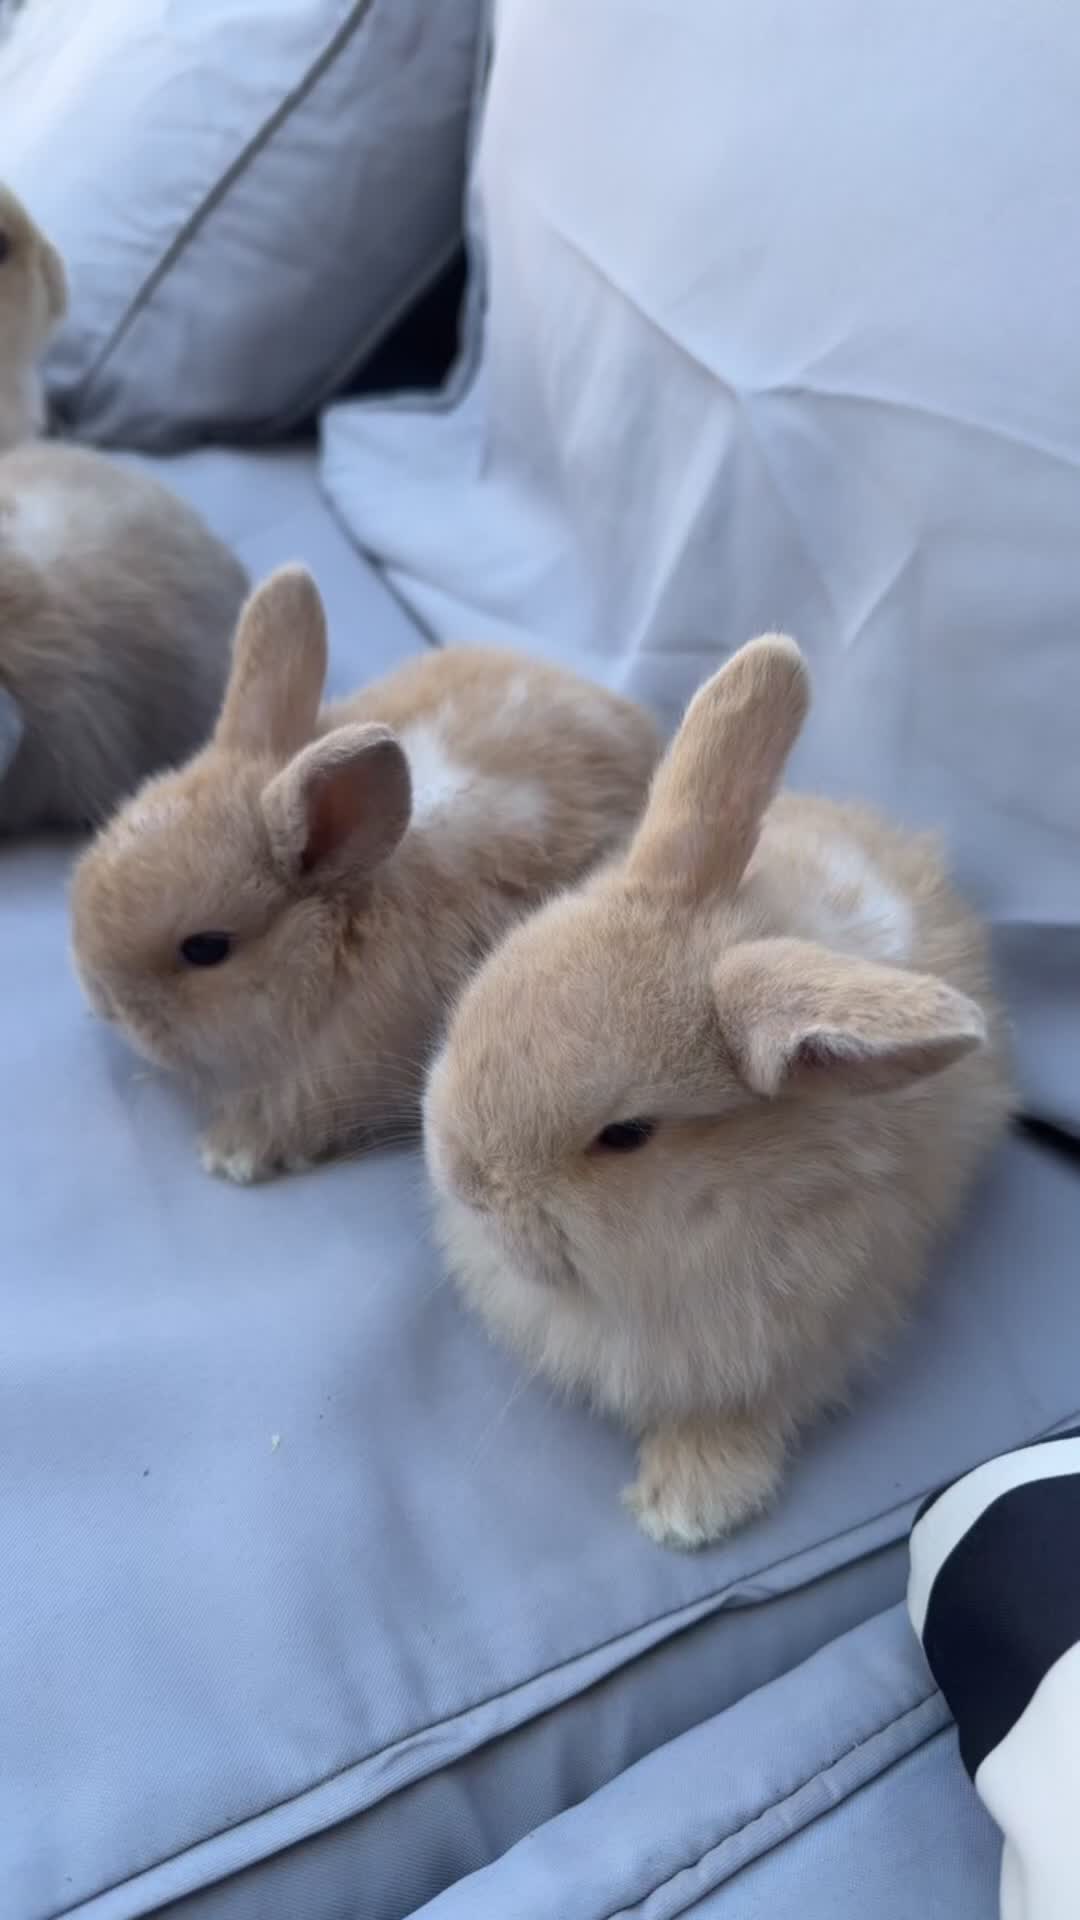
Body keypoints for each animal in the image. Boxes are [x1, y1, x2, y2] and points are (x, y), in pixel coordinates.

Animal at [423, 634, 1013, 1550]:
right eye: (492, 987)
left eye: (625, 1135)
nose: (465, 1181)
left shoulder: (818, 1327)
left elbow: (751, 1406)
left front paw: (689, 1506)